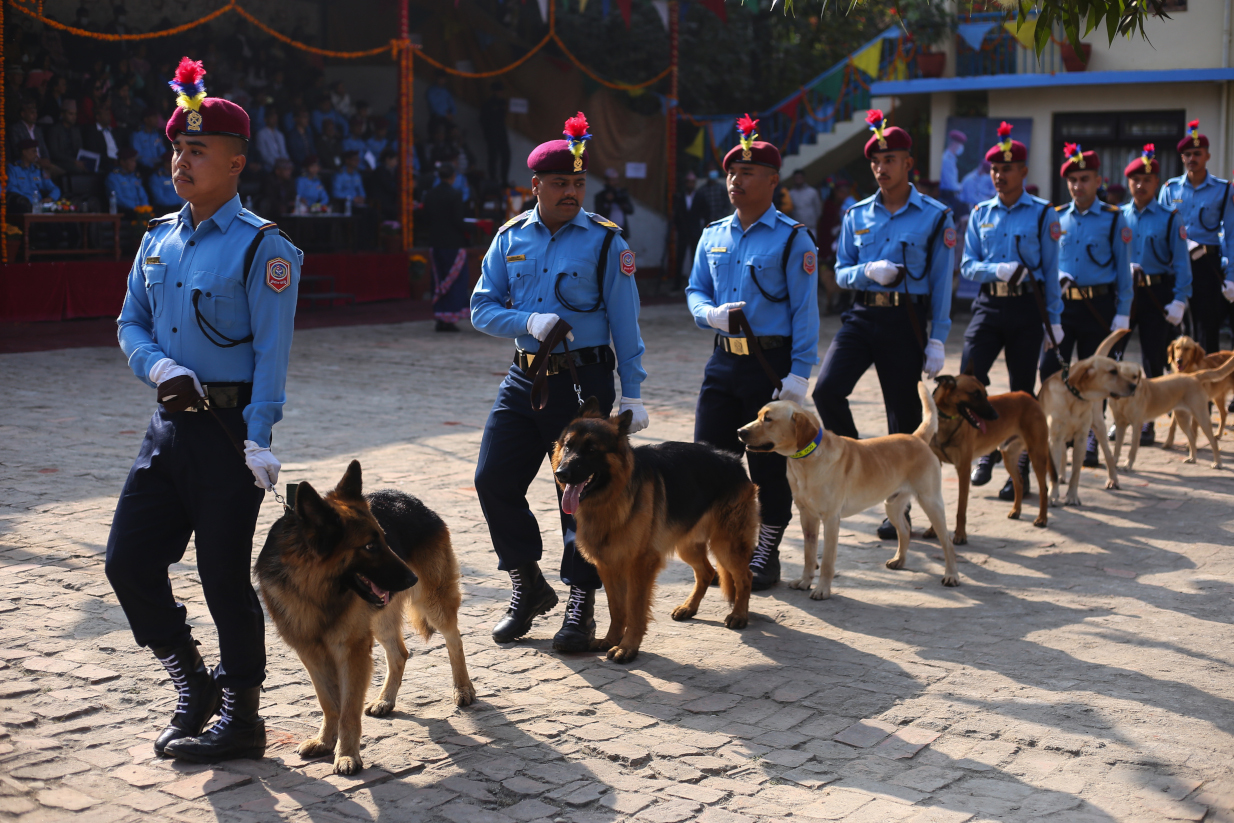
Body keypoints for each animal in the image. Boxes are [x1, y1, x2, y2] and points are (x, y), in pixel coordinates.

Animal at [254, 461, 471, 774]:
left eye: (384, 539)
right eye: (369, 546)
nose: (412, 578)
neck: (316, 590)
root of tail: (408, 497)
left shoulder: (352, 651)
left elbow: (348, 709)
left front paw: (347, 755)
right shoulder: (310, 653)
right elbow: (328, 703)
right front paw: (325, 741)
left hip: (433, 603)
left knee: (455, 641)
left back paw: (463, 688)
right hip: (380, 619)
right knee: (400, 653)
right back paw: (385, 700)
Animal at [552, 397, 760, 661]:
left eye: (591, 450)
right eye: (568, 446)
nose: (561, 473)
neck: (613, 497)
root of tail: (734, 461)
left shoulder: (640, 566)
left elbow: (635, 609)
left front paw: (627, 647)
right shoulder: (608, 566)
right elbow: (616, 608)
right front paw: (611, 640)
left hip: (726, 546)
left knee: (745, 576)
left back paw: (739, 615)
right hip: (688, 547)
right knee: (707, 572)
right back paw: (689, 607)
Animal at [927, 372, 1051, 540]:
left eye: (986, 394)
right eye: (976, 394)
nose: (995, 415)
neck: (947, 422)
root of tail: (1029, 397)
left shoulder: (964, 469)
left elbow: (961, 509)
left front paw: (960, 535)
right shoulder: (936, 467)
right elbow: (935, 507)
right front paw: (933, 530)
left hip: (1036, 454)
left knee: (1043, 489)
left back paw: (1042, 519)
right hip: (1009, 457)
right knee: (1019, 482)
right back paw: (1016, 511)